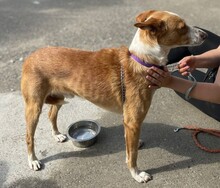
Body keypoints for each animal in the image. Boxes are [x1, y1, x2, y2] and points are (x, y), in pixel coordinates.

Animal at [20, 9, 206, 182]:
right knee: (29, 136)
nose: (204, 34)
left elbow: (130, 148)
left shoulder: (128, 122)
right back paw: (33, 160)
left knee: (51, 114)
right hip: (34, 107)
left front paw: (134, 148)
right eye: (182, 27)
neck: (142, 59)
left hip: (59, 97)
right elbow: (133, 155)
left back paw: (57, 134)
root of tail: (30, 56)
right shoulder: (133, 121)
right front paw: (136, 174)